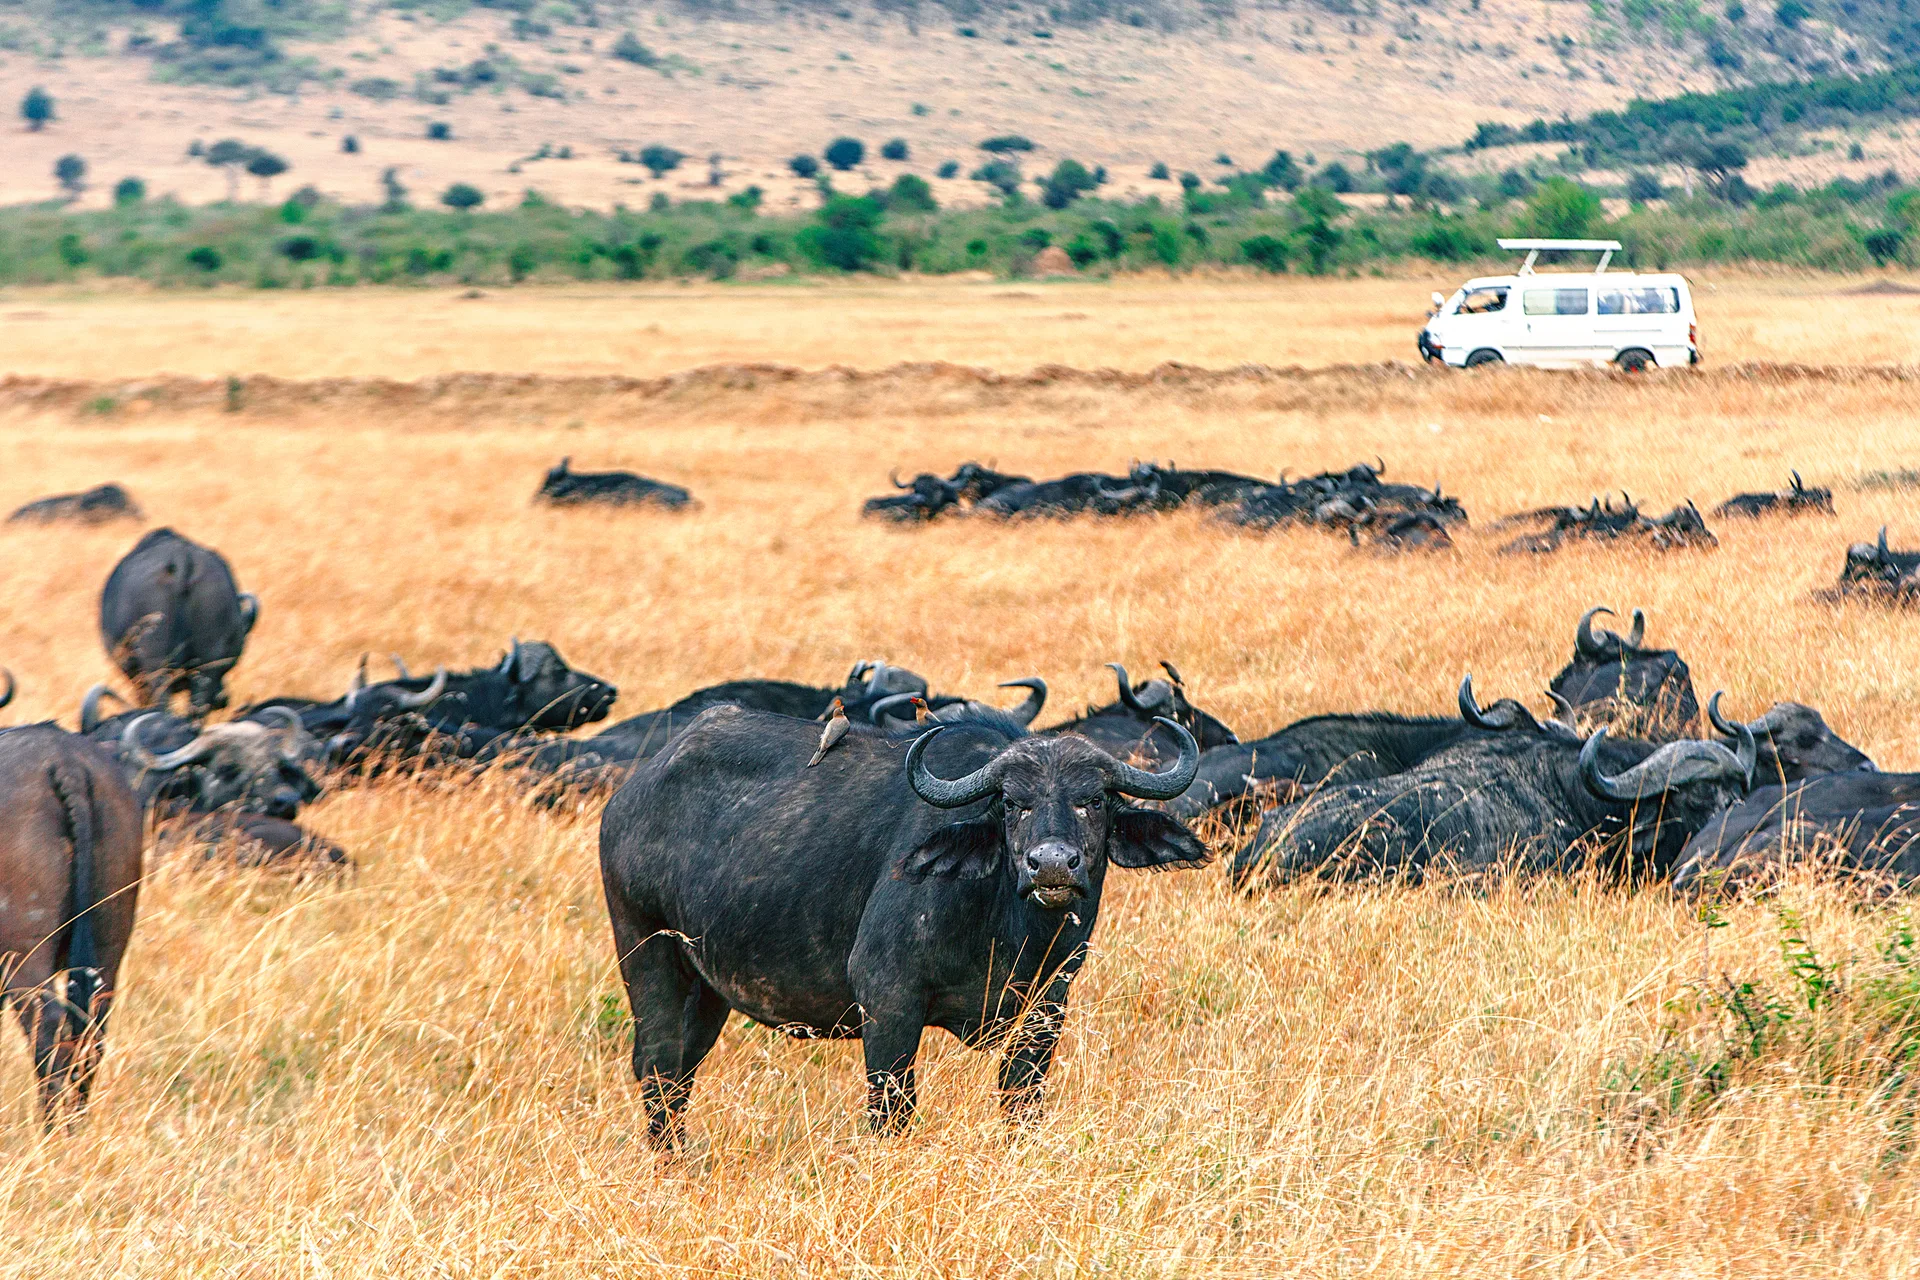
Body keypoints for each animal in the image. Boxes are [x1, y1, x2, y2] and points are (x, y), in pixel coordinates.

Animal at [99, 528, 259, 719]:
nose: (222, 700)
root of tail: (181, 558)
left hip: (157, 664)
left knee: (163, 703)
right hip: (208, 660)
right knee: (197, 706)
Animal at [598, 705, 1205, 1144]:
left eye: (1095, 799)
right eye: (1012, 803)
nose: (1052, 864)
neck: (1010, 934)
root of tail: (632, 794)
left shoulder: (1047, 1008)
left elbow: (1021, 1101)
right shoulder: (887, 1002)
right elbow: (892, 1108)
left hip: (706, 987)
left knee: (680, 1070)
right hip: (645, 948)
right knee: (658, 1062)